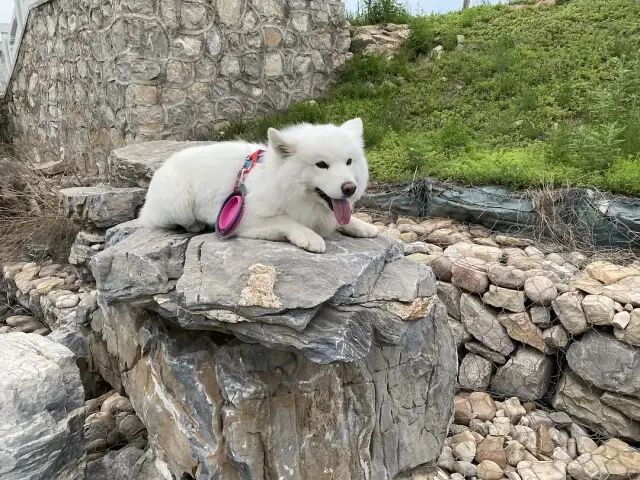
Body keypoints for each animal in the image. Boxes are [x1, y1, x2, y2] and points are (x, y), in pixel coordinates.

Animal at [138, 118, 378, 253]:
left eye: (349, 161)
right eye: (321, 164)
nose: (349, 188)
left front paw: (361, 225)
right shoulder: (246, 219)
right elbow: (286, 220)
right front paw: (309, 236)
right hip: (180, 203)